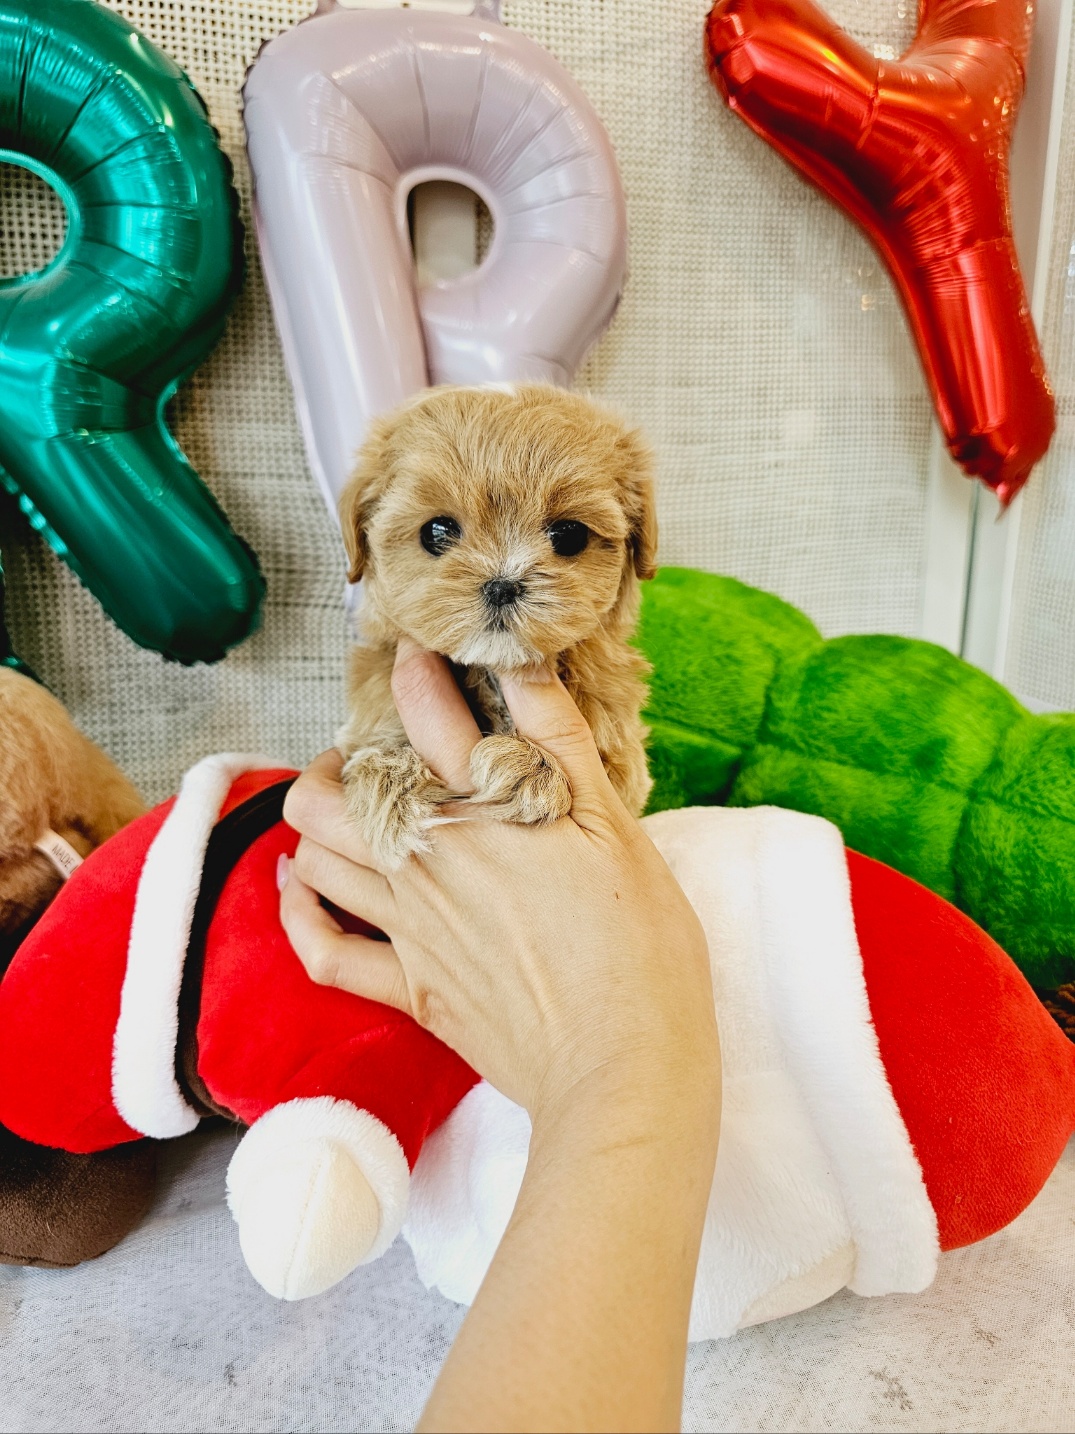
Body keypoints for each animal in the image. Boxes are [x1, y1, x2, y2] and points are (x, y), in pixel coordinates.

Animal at [338, 387, 656, 866]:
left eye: (569, 535)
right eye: (436, 532)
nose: (502, 585)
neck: (492, 669)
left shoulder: (624, 760)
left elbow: (609, 770)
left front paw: (527, 767)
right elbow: (371, 741)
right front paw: (393, 785)